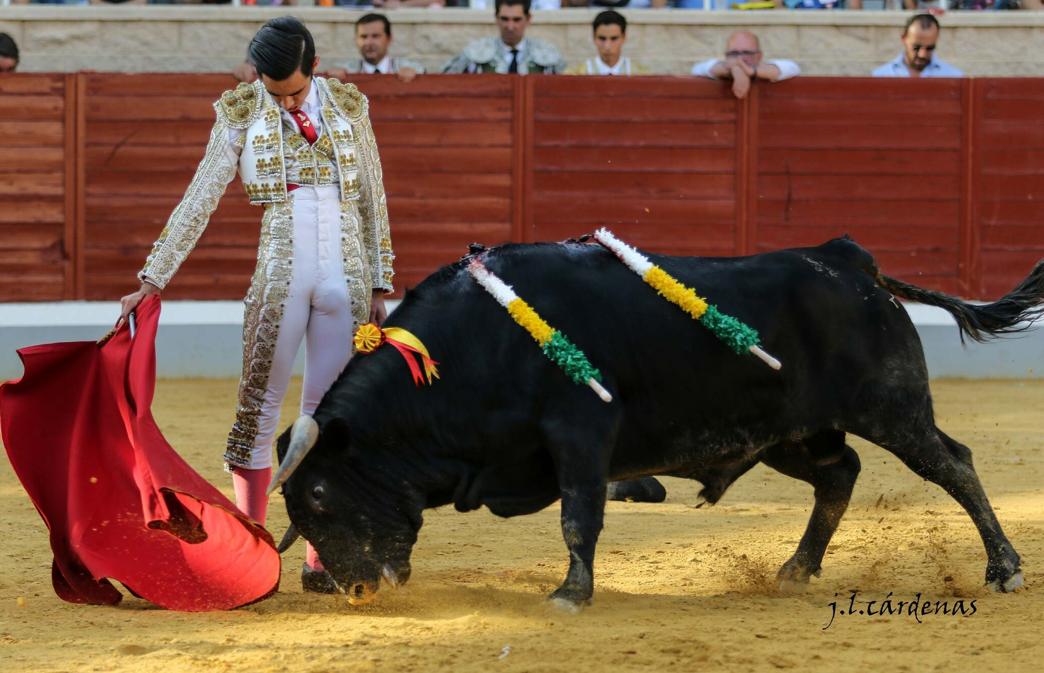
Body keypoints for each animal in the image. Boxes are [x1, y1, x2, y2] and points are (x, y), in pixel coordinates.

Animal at [271, 238, 1044, 605]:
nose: (354, 589)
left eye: (320, 495)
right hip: (788, 432)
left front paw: (570, 593)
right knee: (840, 473)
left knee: (952, 463)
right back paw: (795, 569)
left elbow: (579, 515)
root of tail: (847, 258)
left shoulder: (581, 433)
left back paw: (1004, 569)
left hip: (891, 408)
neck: (471, 346)